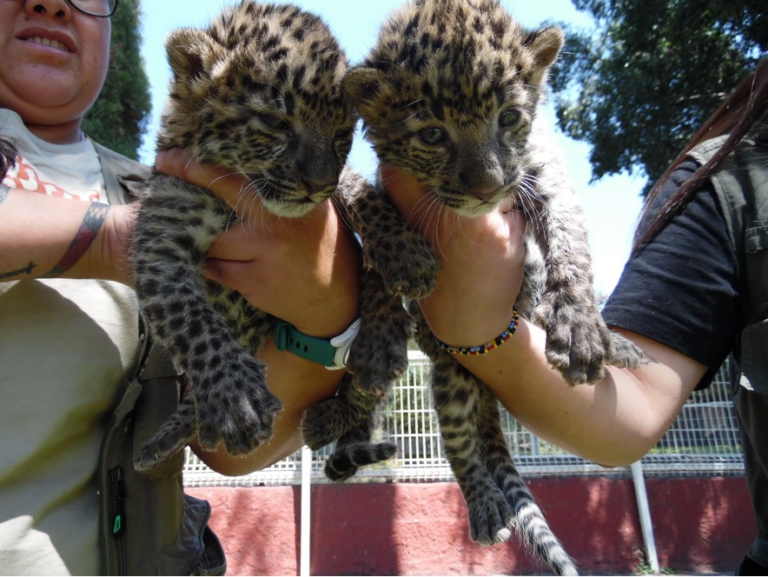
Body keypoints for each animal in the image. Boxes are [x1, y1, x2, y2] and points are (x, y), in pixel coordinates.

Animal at [131, 0, 407, 472]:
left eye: (341, 134)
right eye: (277, 123)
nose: (317, 184)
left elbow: (357, 192)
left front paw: (406, 258)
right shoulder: (161, 242)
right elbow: (192, 320)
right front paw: (234, 400)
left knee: (359, 399)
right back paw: (170, 435)